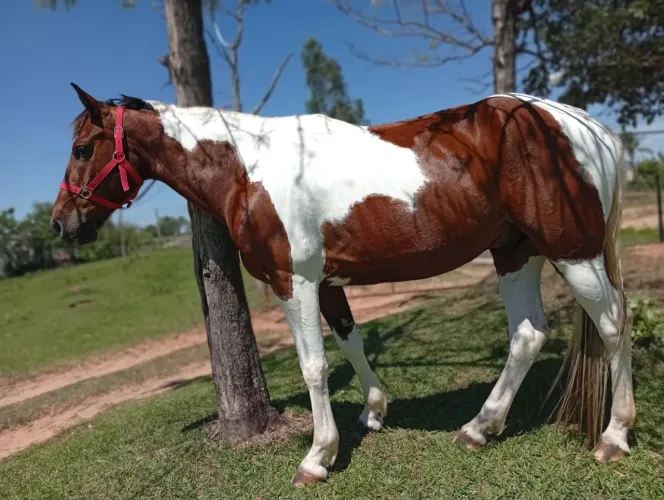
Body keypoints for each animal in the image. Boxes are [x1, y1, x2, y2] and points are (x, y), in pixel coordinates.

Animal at [51, 83, 636, 486]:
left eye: (81, 148)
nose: (61, 224)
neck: (249, 166)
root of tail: (579, 123)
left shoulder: (294, 281)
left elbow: (314, 366)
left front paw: (317, 456)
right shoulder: (328, 281)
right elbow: (350, 341)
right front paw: (374, 410)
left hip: (573, 253)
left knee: (612, 325)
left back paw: (614, 436)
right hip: (515, 252)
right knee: (528, 334)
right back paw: (478, 427)